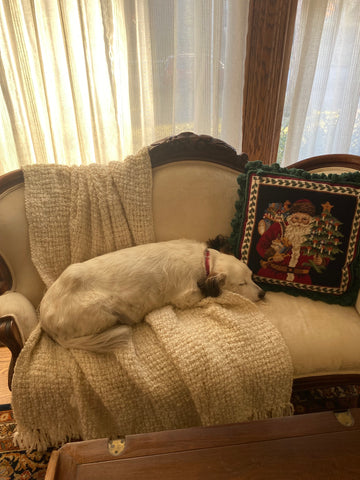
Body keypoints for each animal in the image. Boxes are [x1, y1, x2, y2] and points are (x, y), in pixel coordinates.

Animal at [40, 237, 264, 352]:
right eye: (241, 283)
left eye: (252, 275)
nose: (263, 294)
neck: (205, 262)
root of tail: (46, 324)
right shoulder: (186, 296)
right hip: (104, 310)